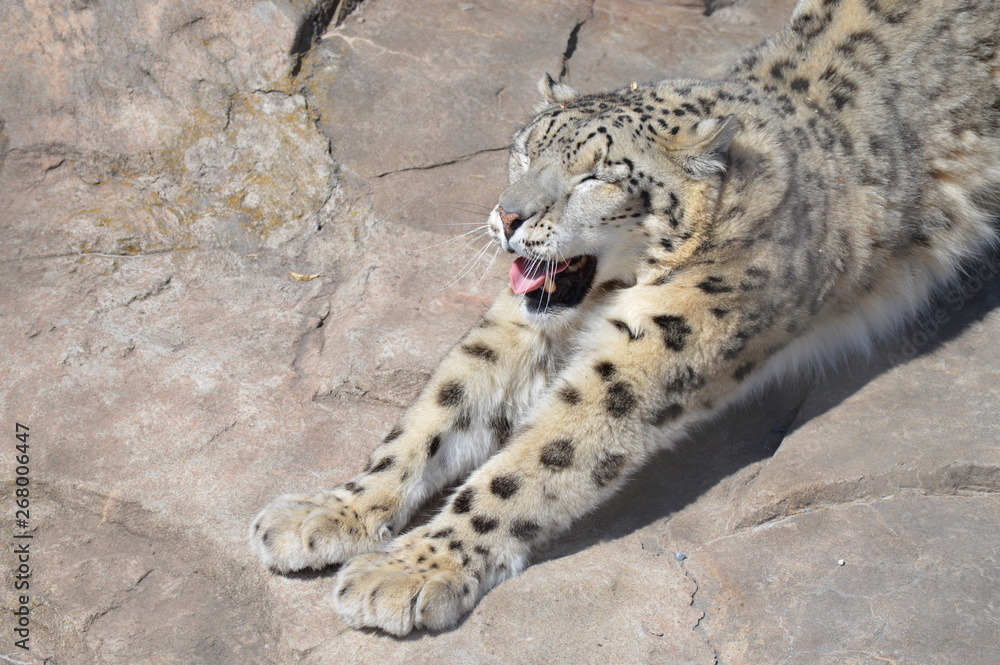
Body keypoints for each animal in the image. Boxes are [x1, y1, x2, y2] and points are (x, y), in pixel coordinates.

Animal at [250, 0, 1000, 635]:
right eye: (524, 149)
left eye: (597, 177)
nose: (508, 217)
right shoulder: (523, 324)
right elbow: (437, 409)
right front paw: (330, 510)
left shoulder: (660, 344)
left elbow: (532, 461)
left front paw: (405, 571)